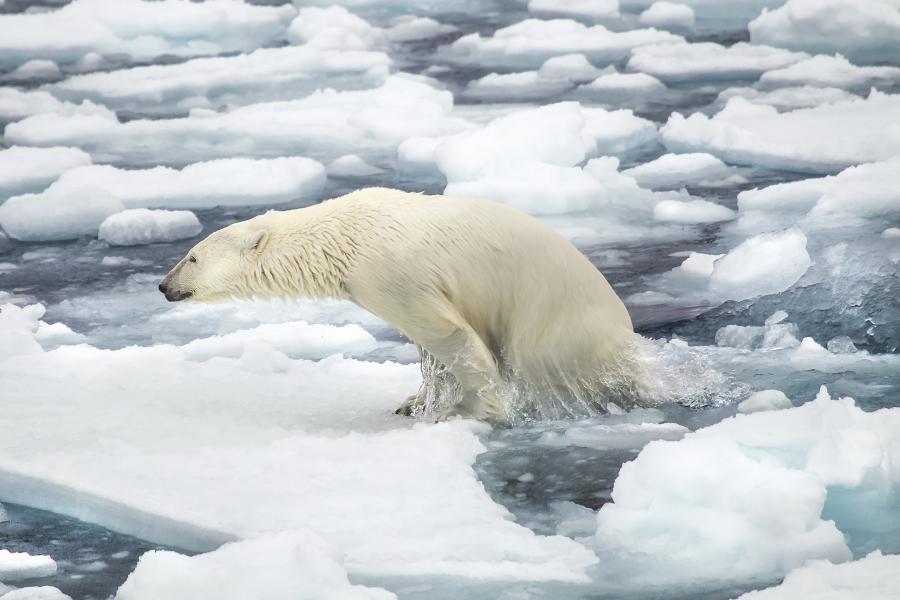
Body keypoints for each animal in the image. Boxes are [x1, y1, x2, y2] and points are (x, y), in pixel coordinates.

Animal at [159, 187, 646, 422]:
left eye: (192, 257)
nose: (163, 286)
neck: (342, 237)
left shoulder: (392, 273)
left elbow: (450, 336)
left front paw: (469, 410)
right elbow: (428, 351)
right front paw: (413, 402)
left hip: (554, 318)